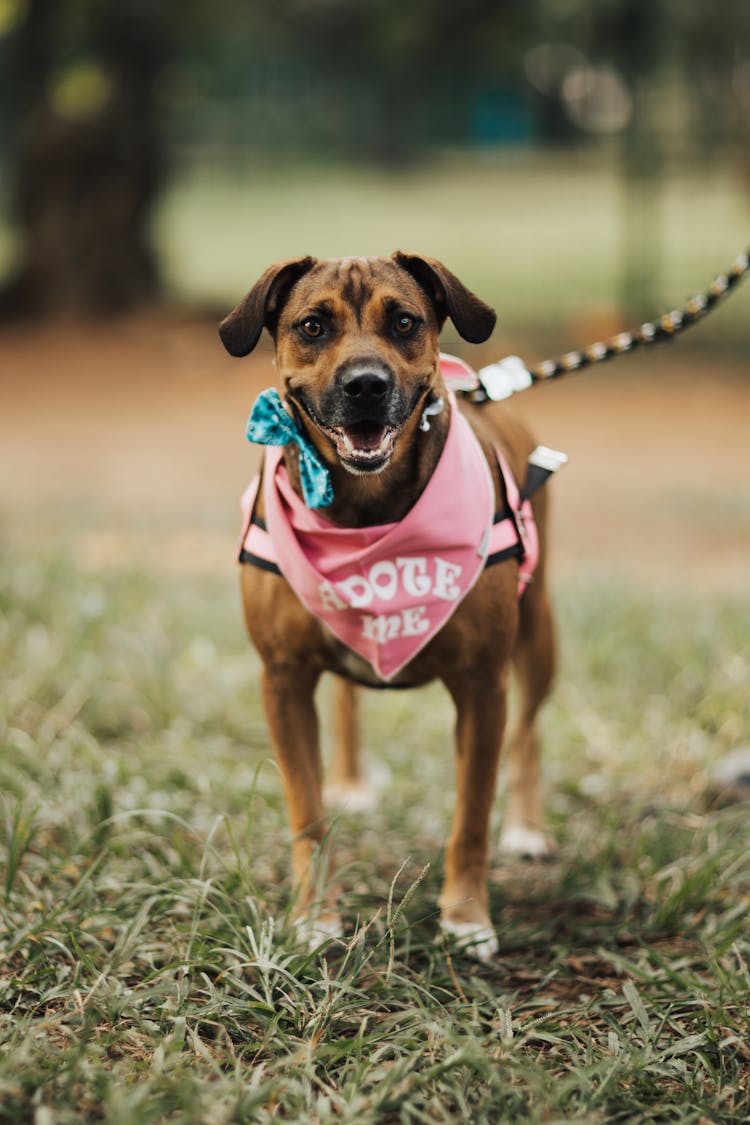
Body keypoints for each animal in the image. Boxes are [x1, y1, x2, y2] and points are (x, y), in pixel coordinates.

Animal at [218, 255, 557, 958]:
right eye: (312, 326)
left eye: (404, 321)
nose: (366, 385)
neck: (364, 512)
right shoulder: (282, 677)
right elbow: (306, 811)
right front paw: (314, 917)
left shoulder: (483, 682)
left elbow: (471, 814)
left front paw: (466, 918)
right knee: (348, 701)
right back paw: (351, 780)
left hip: (539, 631)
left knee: (529, 729)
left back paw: (527, 826)